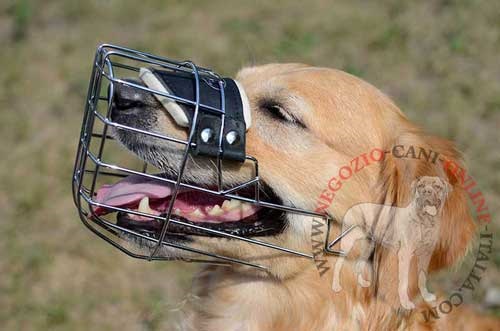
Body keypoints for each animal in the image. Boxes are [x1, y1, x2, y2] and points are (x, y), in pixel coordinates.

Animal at [334, 178, 452, 310]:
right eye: (421, 186)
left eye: (437, 186)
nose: (427, 191)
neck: (425, 222)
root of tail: (352, 206)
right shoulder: (405, 254)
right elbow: (404, 281)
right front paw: (405, 303)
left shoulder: (426, 254)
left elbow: (422, 277)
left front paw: (426, 296)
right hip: (348, 242)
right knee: (338, 263)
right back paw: (336, 287)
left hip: (369, 246)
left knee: (358, 264)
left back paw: (363, 284)